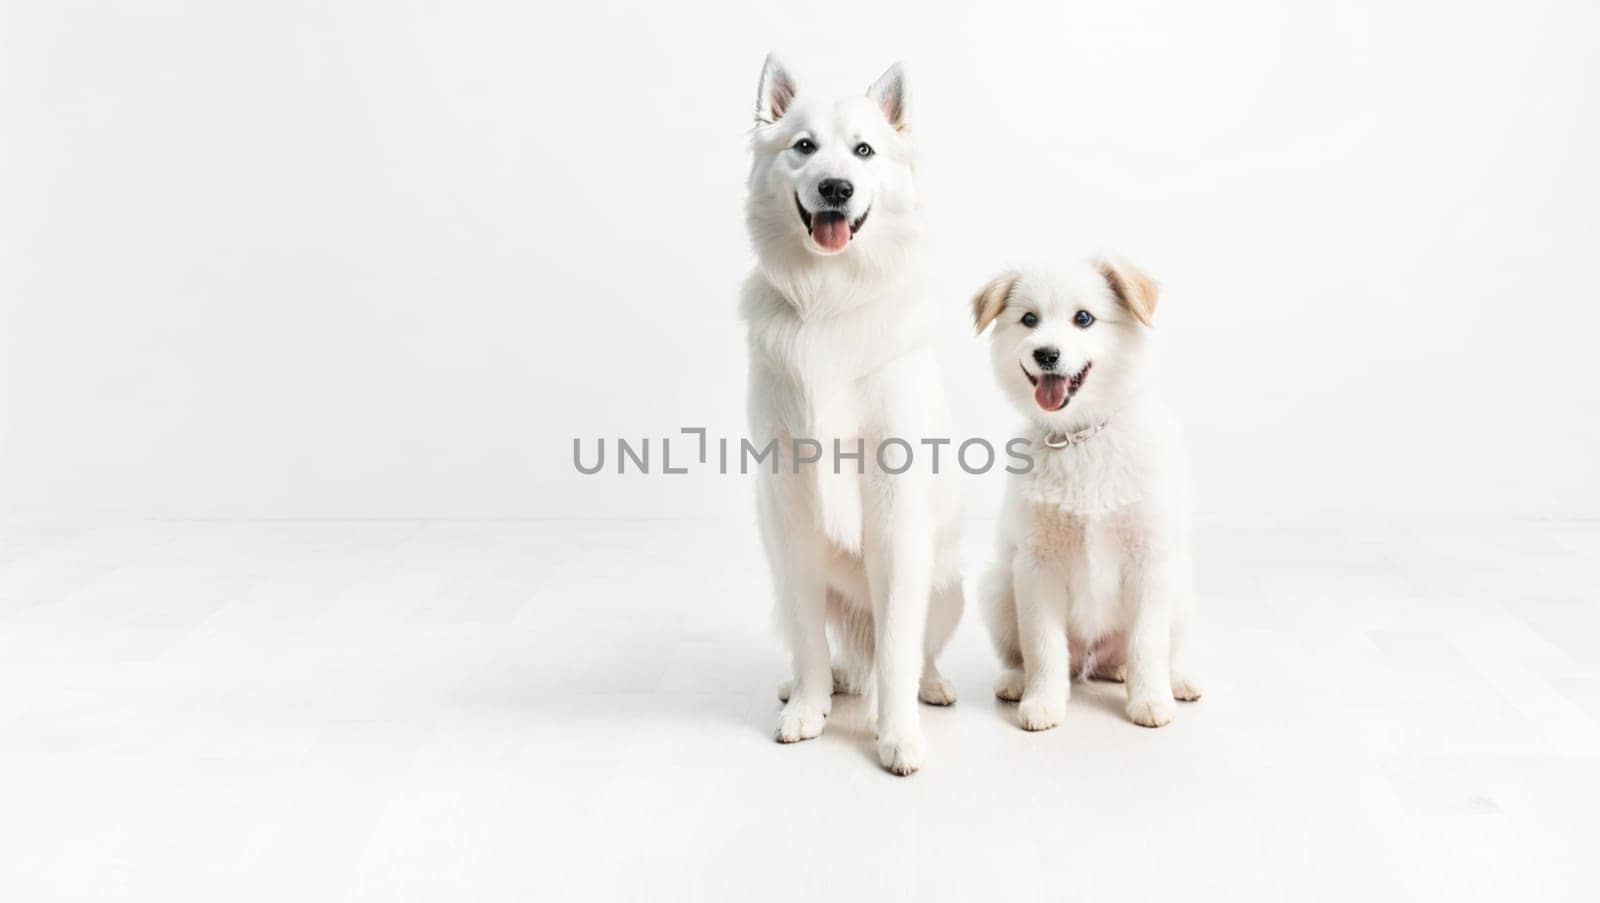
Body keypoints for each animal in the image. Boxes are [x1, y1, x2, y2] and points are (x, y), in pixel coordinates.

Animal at [739, 54, 960, 774]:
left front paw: (896, 734)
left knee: (913, 651)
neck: (830, 299)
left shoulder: (895, 508)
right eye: (804, 147)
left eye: (864, 151)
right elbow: (811, 638)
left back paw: (929, 687)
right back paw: (810, 685)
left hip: (946, 587)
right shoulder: (790, 513)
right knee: (824, 647)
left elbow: (895, 648)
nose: (835, 188)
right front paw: (808, 708)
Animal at [972, 257, 1203, 730]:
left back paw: (1172, 679)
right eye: (1028, 320)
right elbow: (1042, 645)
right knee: (1024, 654)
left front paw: (1151, 699)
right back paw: (1016, 682)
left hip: (1181, 591)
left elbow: (1148, 643)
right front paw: (1043, 701)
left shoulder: (1150, 560)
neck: (1078, 439)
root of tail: (1095, 661)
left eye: (1083, 318)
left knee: (1146, 652)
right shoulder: (1036, 566)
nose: (1046, 354)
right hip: (998, 586)